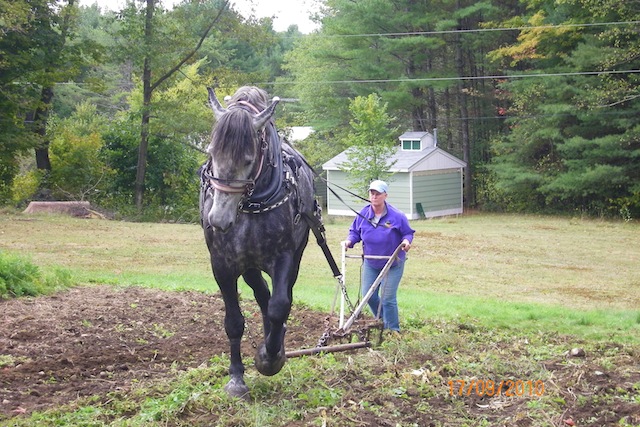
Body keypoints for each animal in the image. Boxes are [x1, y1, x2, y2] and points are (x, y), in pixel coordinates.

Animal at [199, 86, 321, 398]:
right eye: (211, 153)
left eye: (247, 158)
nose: (218, 219)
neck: (252, 203)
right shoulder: (222, 264)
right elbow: (234, 322)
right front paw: (236, 378)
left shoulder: (284, 256)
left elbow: (280, 305)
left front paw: (270, 357)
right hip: (249, 263)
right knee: (260, 291)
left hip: (294, 255)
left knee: (277, 297)